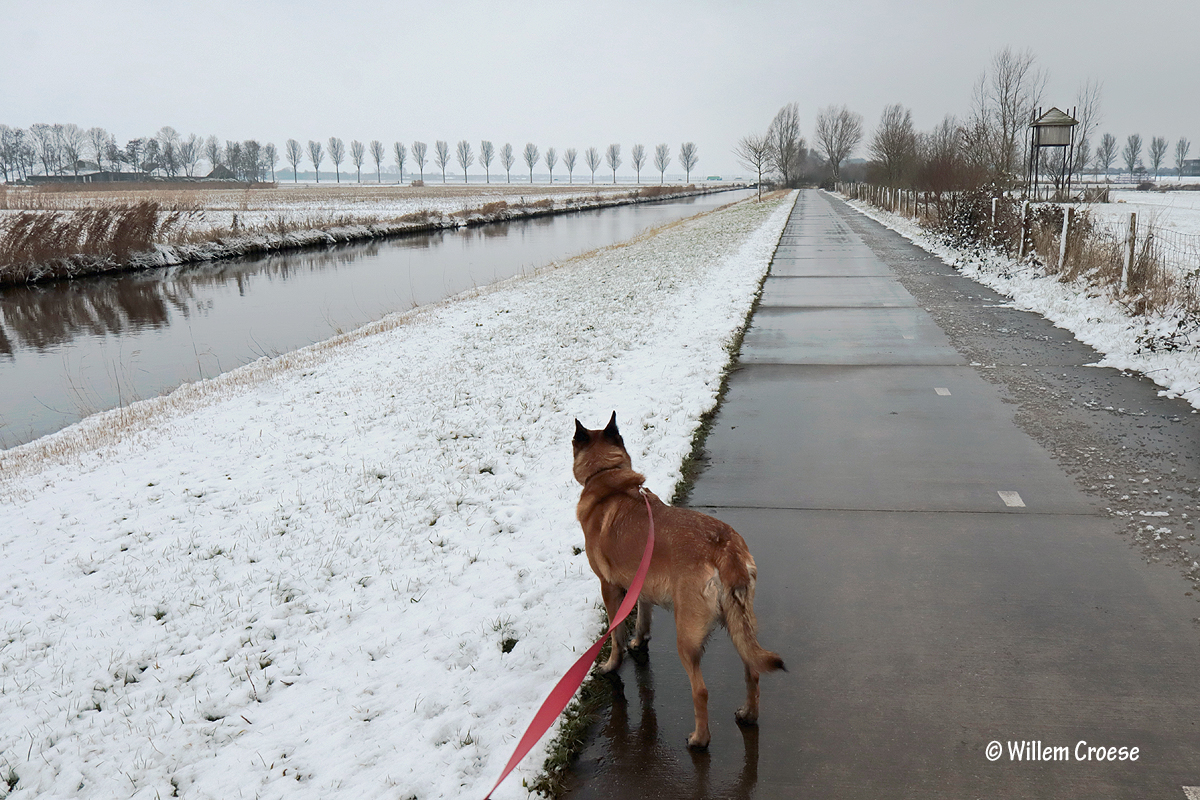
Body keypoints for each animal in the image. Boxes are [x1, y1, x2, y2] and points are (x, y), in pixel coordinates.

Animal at [572, 412, 784, 749]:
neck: (606, 477)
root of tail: (724, 548)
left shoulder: (610, 588)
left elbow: (615, 633)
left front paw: (611, 664)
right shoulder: (641, 583)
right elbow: (642, 617)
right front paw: (639, 640)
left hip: (686, 637)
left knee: (701, 690)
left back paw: (699, 739)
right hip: (741, 623)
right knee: (753, 671)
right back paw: (748, 714)